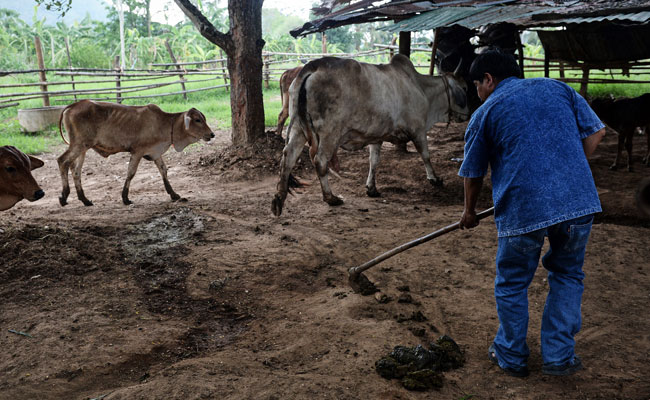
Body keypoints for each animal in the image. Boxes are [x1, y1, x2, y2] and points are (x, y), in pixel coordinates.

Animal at [57, 99, 214, 206]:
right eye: (197, 120)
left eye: (204, 118)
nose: (212, 134)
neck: (165, 124)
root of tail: (74, 104)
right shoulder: (137, 151)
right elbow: (131, 173)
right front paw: (125, 198)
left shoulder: (155, 152)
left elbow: (163, 170)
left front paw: (173, 194)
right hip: (78, 145)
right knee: (62, 161)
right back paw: (64, 196)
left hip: (83, 148)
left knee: (76, 171)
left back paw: (84, 199)